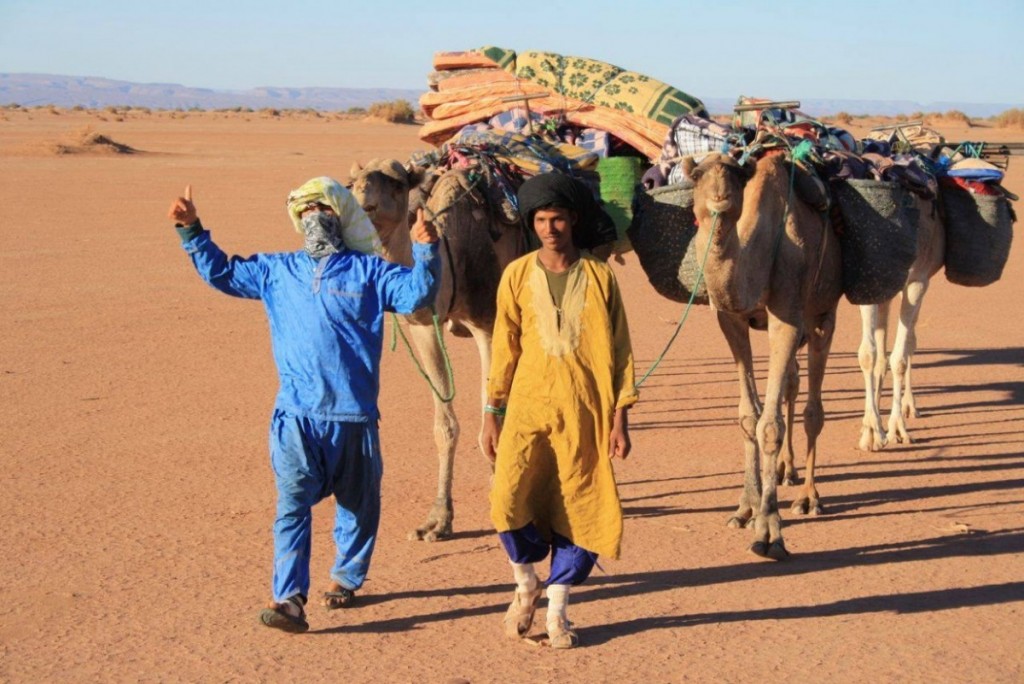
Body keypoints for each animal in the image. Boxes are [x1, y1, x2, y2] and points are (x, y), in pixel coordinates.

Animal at [352, 158, 528, 540]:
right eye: (352, 181)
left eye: (397, 183)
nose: (362, 201)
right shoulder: (423, 327)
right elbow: (444, 426)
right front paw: (437, 520)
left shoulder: (488, 323)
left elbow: (490, 413)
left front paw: (500, 496)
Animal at [684, 152, 843, 557]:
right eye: (696, 176)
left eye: (735, 176)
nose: (720, 199)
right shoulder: (730, 318)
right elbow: (748, 415)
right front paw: (745, 508)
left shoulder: (786, 312)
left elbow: (769, 424)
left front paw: (769, 529)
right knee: (793, 384)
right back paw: (788, 471)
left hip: (822, 310)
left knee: (813, 407)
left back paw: (809, 497)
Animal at [856, 194, 942, 448]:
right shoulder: (871, 279)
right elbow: (869, 354)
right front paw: (871, 430)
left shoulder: (917, 280)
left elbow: (900, 358)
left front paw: (896, 429)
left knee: (910, 341)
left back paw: (909, 406)